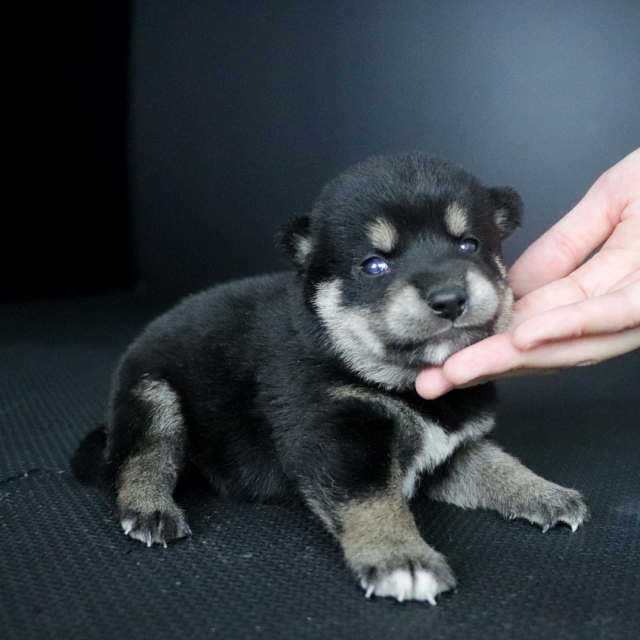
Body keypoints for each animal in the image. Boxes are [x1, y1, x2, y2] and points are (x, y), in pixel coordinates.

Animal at [72, 152, 589, 604]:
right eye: (374, 265)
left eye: (470, 245)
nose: (449, 298)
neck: (394, 379)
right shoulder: (339, 435)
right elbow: (373, 500)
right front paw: (403, 560)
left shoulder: (452, 449)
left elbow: (498, 465)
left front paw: (546, 494)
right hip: (152, 393)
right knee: (143, 457)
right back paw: (150, 510)